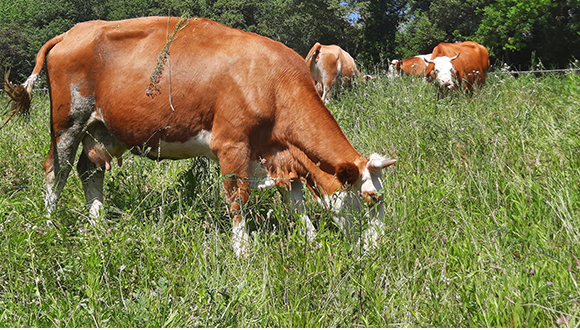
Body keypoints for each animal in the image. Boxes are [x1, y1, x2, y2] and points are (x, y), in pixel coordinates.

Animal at [3, 16, 394, 256]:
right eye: (371, 199)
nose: (379, 249)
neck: (271, 80)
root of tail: (74, 31)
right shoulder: (232, 146)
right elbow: (238, 199)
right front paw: (243, 251)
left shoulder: (279, 152)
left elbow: (294, 201)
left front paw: (311, 240)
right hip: (68, 121)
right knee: (56, 171)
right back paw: (51, 226)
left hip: (102, 129)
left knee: (90, 170)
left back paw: (98, 224)